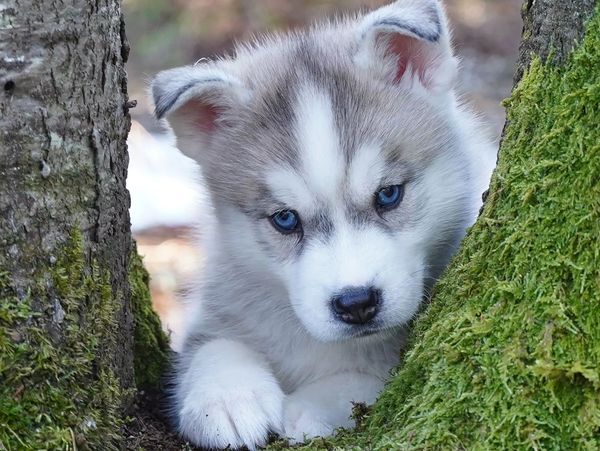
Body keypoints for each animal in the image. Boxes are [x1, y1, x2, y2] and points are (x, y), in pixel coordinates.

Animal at [151, 1, 496, 450]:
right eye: (285, 219)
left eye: (389, 194)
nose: (356, 303)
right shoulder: (221, 303)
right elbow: (215, 345)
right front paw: (225, 399)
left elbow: (366, 379)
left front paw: (308, 408)